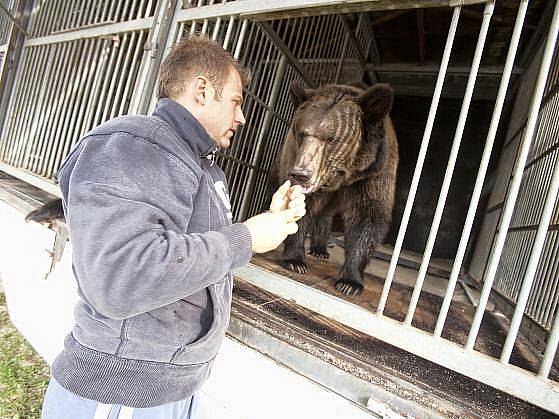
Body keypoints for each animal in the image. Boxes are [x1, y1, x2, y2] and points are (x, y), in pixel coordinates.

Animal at [270, 81, 400, 296]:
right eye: (303, 133)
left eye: (331, 139)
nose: (301, 174)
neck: (340, 177)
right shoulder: (292, 156)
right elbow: (299, 208)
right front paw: (295, 261)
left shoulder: (372, 176)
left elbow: (368, 219)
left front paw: (350, 282)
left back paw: (320, 249)